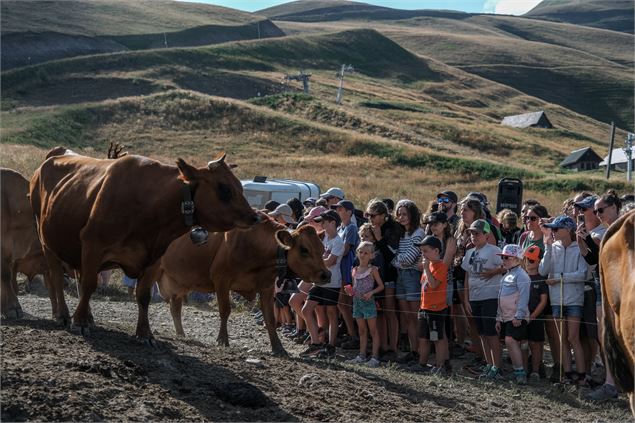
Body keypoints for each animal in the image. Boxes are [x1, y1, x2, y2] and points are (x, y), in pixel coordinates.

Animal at [29, 150, 258, 342]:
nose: (254, 217)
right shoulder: (93, 245)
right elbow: (89, 285)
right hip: (46, 240)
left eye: (240, 186)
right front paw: (79, 323)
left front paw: (144, 333)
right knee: (57, 277)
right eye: (224, 188)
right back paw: (63, 314)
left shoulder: (155, 258)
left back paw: (88, 316)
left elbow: (144, 295)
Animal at [157, 215, 330, 354]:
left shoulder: (267, 287)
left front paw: (278, 347)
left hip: (179, 283)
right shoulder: (221, 280)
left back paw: (180, 334)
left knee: (175, 307)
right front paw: (222, 340)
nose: (326, 275)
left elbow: (270, 318)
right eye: (304, 249)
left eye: (322, 249)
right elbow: (225, 310)